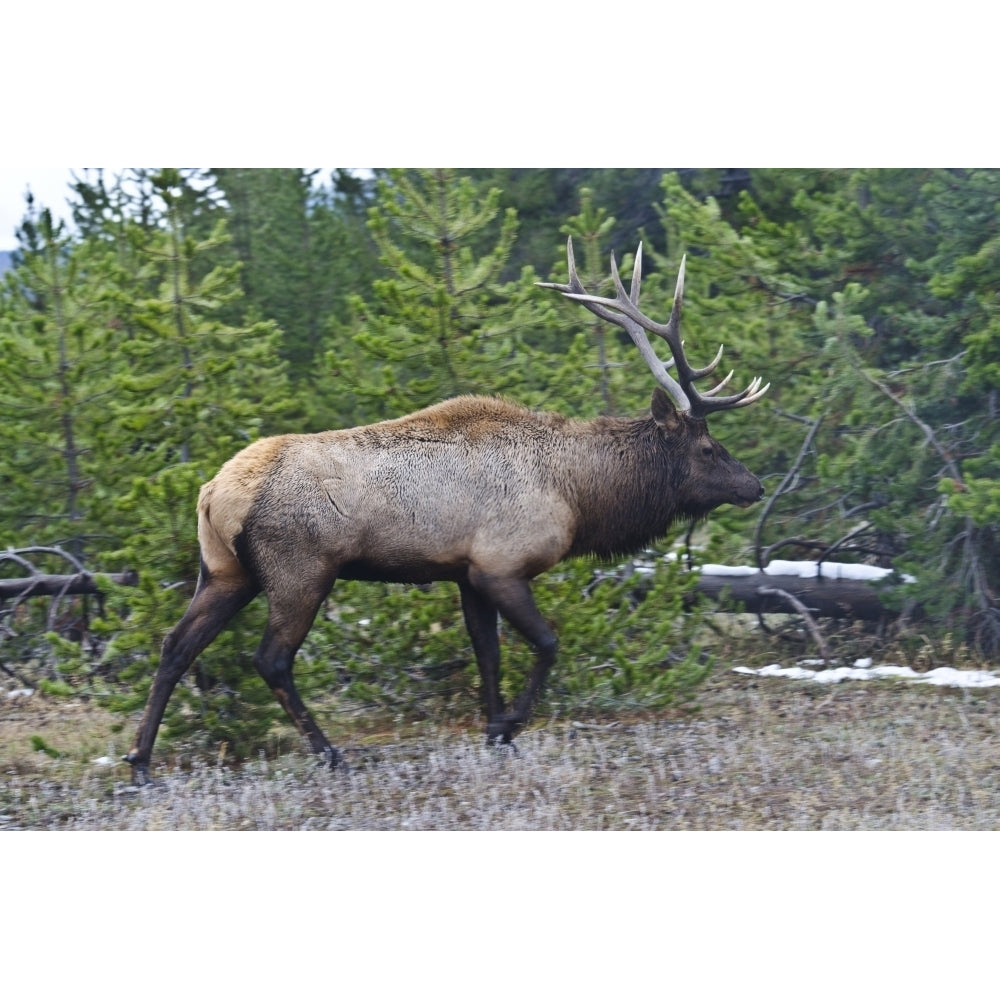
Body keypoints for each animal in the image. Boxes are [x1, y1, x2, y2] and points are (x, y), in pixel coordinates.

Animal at [123, 240, 764, 780]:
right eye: (708, 448)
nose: (754, 485)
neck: (579, 495)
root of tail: (214, 493)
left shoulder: (466, 572)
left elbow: (487, 654)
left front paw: (494, 730)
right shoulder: (501, 565)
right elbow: (547, 644)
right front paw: (509, 725)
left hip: (225, 572)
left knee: (175, 645)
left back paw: (140, 761)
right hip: (299, 570)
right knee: (272, 659)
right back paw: (330, 753)